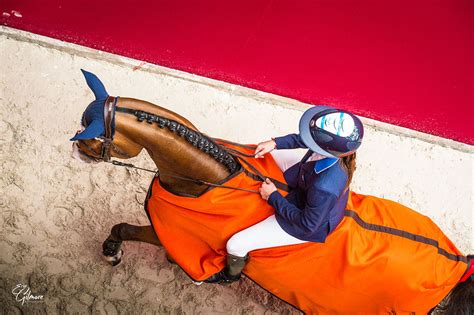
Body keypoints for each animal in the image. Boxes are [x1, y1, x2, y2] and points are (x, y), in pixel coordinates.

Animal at [71, 70, 474, 314]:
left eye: (90, 133)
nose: (77, 151)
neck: (207, 182)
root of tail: (457, 264)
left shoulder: (172, 235)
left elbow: (124, 228)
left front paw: (111, 252)